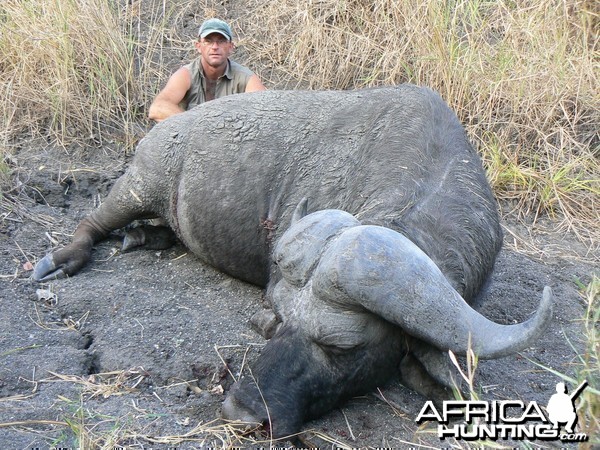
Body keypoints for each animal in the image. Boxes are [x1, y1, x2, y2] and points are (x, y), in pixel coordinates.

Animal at [34, 84, 552, 440]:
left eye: (342, 347)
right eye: (281, 322)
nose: (242, 412)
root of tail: (164, 131)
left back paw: (145, 235)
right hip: (140, 184)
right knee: (95, 220)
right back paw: (65, 257)